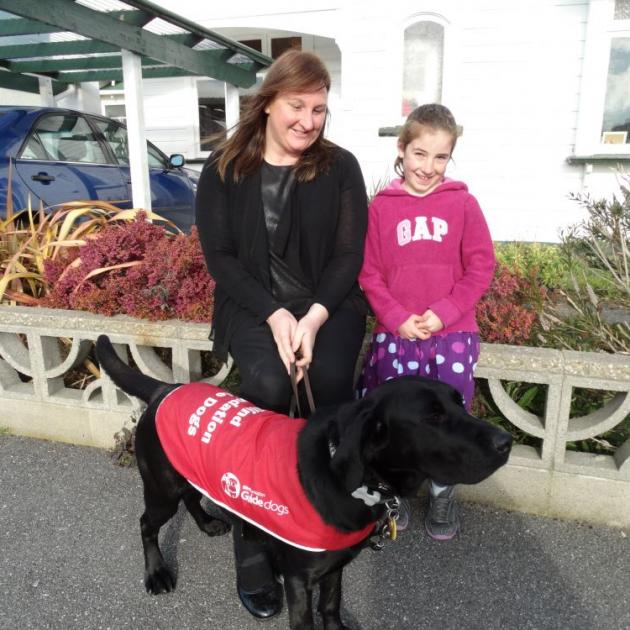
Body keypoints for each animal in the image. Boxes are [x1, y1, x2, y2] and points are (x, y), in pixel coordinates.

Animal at [95, 338, 512, 628]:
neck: (355, 483)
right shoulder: (298, 580)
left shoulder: (334, 567)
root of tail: (166, 389)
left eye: (460, 402)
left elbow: (331, 604)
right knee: (147, 524)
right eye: (433, 417)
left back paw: (208, 523)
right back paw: (156, 573)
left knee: (193, 498)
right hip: (161, 488)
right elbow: (305, 618)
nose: (505, 442)